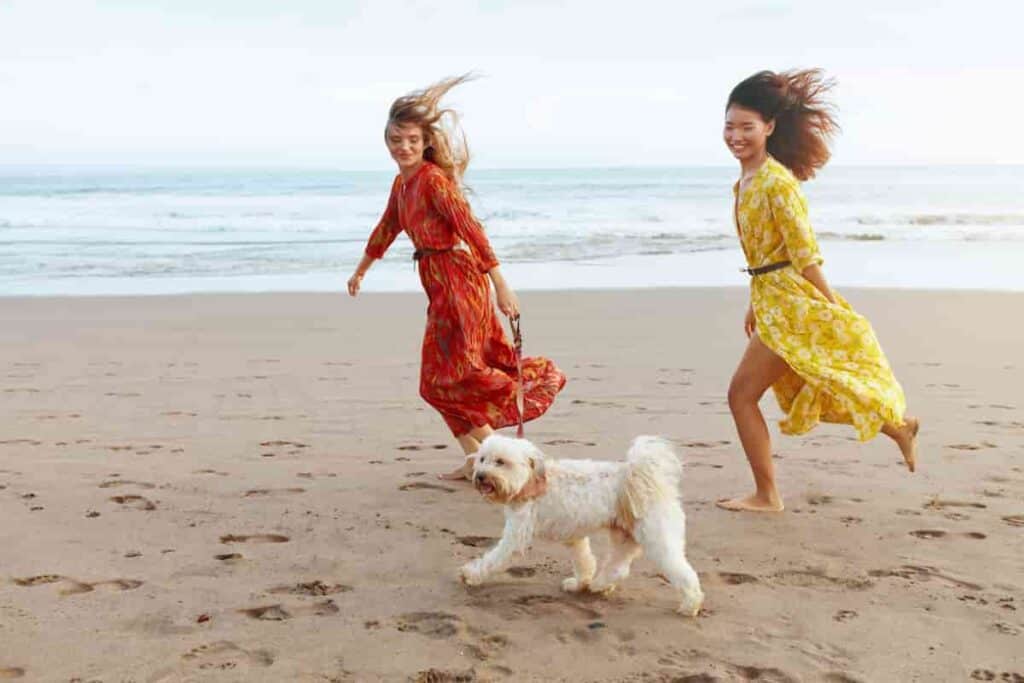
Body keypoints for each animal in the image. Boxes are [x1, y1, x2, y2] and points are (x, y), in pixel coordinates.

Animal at [458, 436, 704, 618]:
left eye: (500, 461)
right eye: (482, 459)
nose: (480, 476)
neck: (531, 481)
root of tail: (643, 477)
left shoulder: (517, 535)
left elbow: (495, 557)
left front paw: (471, 574)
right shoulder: (574, 536)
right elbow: (583, 560)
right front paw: (580, 583)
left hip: (657, 538)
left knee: (682, 572)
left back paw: (690, 605)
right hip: (624, 535)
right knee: (619, 566)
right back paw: (600, 585)